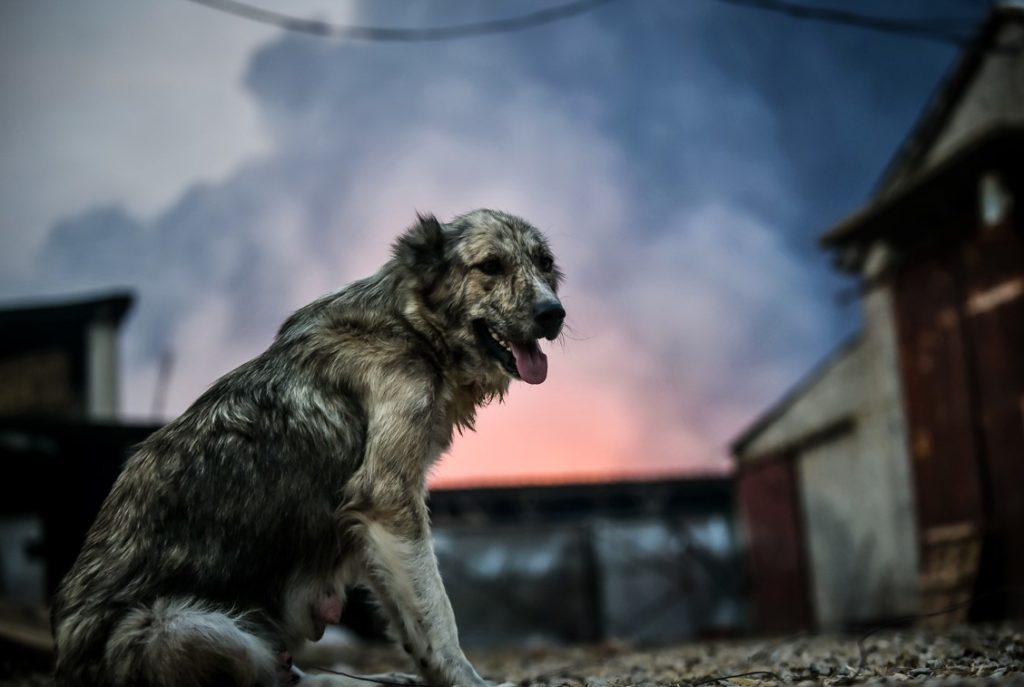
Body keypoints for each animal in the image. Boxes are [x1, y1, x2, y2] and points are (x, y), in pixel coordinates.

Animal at [54, 210, 569, 687]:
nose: (554, 313)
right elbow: (438, 616)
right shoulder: (387, 499)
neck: (409, 326)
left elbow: (412, 621)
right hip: (179, 626)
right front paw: (468, 680)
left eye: (544, 263)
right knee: (266, 677)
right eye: (491, 266)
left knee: (287, 672)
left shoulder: (372, 525)